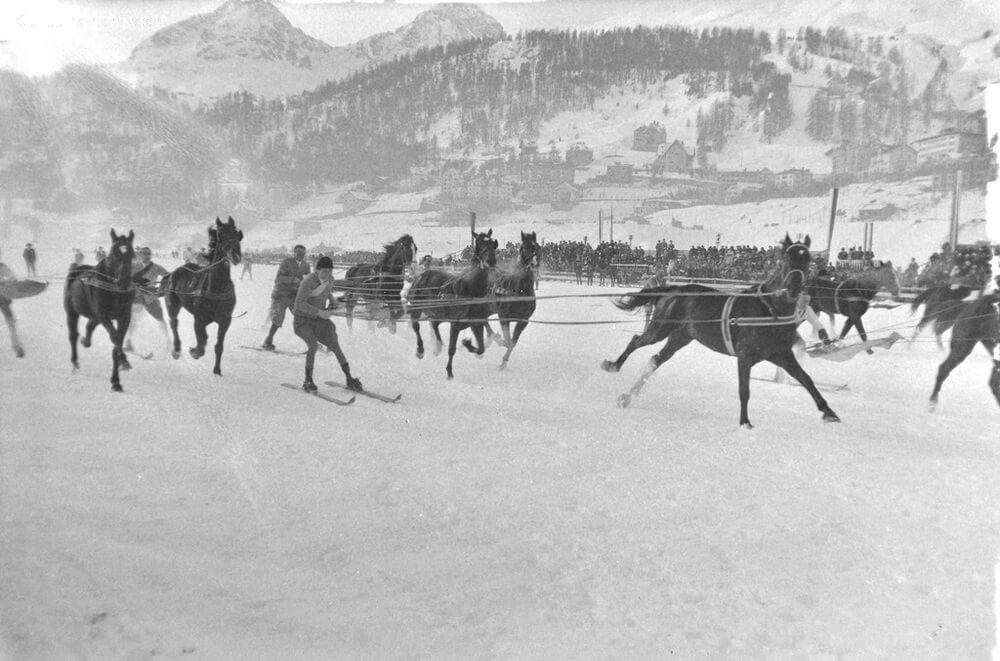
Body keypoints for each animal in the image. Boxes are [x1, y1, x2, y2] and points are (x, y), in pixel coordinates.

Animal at [64, 229, 138, 390]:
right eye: (113, 252)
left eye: (131, 253)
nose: (123, 282)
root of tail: (78, 268)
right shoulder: (103, 314)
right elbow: (115, 338)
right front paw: (117, 376)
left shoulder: (124, 316)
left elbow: (118, 339)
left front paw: (119, 372)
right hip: (71, 311)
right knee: (73, 335)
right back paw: (74, 362)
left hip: (95, 315)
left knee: (90, 325)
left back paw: (86, 341)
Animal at [164, 215, 244, 374]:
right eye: (220, 234)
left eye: (237, 233)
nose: (236, 256)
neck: (217, 288)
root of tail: (175, 271)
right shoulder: (199, 318)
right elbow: (201, 346)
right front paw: (193, 351)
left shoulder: (225, 320)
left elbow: (218, 346)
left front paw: (217, 370)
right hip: (172, 304)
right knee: (174, 323)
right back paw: (176, 349)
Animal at [406, 231, 500, 376]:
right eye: (479, 243)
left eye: (492, 243)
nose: (490, 261)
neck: (471, 290)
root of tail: (421, 275)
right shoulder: (455, 324)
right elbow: (452, 348)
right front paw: (449, 371)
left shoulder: (476, 323)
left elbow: (481, 348)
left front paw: (468, 344)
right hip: (418, 306)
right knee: (416, 326)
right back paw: (421, 349)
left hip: (439, 313)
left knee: (434, 323)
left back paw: (438, 346)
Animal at [484, 229, 540, 368]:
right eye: (524, 247)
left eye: (537, 247)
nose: (534, 263)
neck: (520, 291)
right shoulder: (504, 316)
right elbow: (508, 340)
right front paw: (500, 342)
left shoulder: (523, 321)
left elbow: (513, 342)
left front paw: (504, 360)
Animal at [600, 235, 836, 426]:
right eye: (787, 259)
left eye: (807, 260)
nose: (794, 289)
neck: (768, 309)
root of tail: (674, 289)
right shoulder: (745, 356)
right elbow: (744, 390)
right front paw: (745, 422)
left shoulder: (782, 355)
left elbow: (806, 379)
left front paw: (829, 411)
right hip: (660, 328)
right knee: (636, 341)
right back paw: (612, 366)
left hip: (680, 337)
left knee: (655, 360)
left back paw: (626, 397)